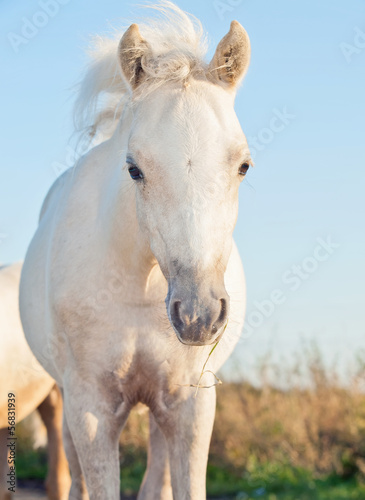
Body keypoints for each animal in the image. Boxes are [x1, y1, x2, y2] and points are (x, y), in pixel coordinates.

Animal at [20, 1, 250, 498]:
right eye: (134, 169)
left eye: (243, 165)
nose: (198, 315)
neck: (141, 288)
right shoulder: (90, 408)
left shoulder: (191, 405)